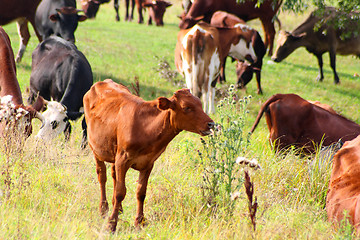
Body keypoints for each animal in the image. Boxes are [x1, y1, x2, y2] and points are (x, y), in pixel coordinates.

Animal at [84, 79, 214, 232]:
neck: (145, 128)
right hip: (95, 149)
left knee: (113, 174)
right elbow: (120, 192)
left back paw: (118, 208)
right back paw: (104, 209)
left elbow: (141, 192)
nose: (211, 123)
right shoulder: (123, 159)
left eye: (200, 104)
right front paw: (112, 224)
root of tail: (102, 82)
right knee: (102, 176)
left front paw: (139, 221)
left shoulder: (148, 163)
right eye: (187, 107)